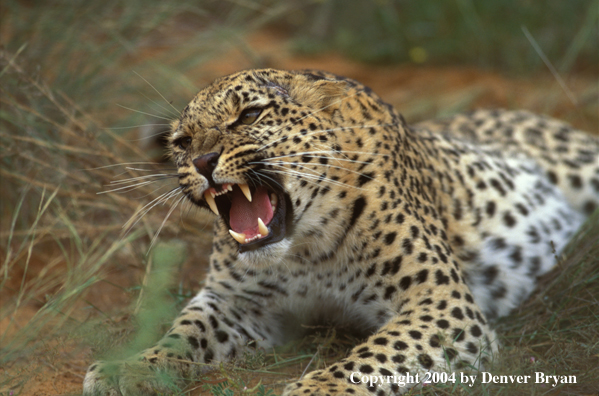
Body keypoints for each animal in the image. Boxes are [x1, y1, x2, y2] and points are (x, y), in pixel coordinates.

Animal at [84, 69, 599, 396]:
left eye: (248, 117)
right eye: (182, 141)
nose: (201, 162)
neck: (305, 251)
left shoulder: (438, 299)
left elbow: (378, 353)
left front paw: (319, 389)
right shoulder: (239, 301)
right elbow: (183, 332)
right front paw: (131, 367)